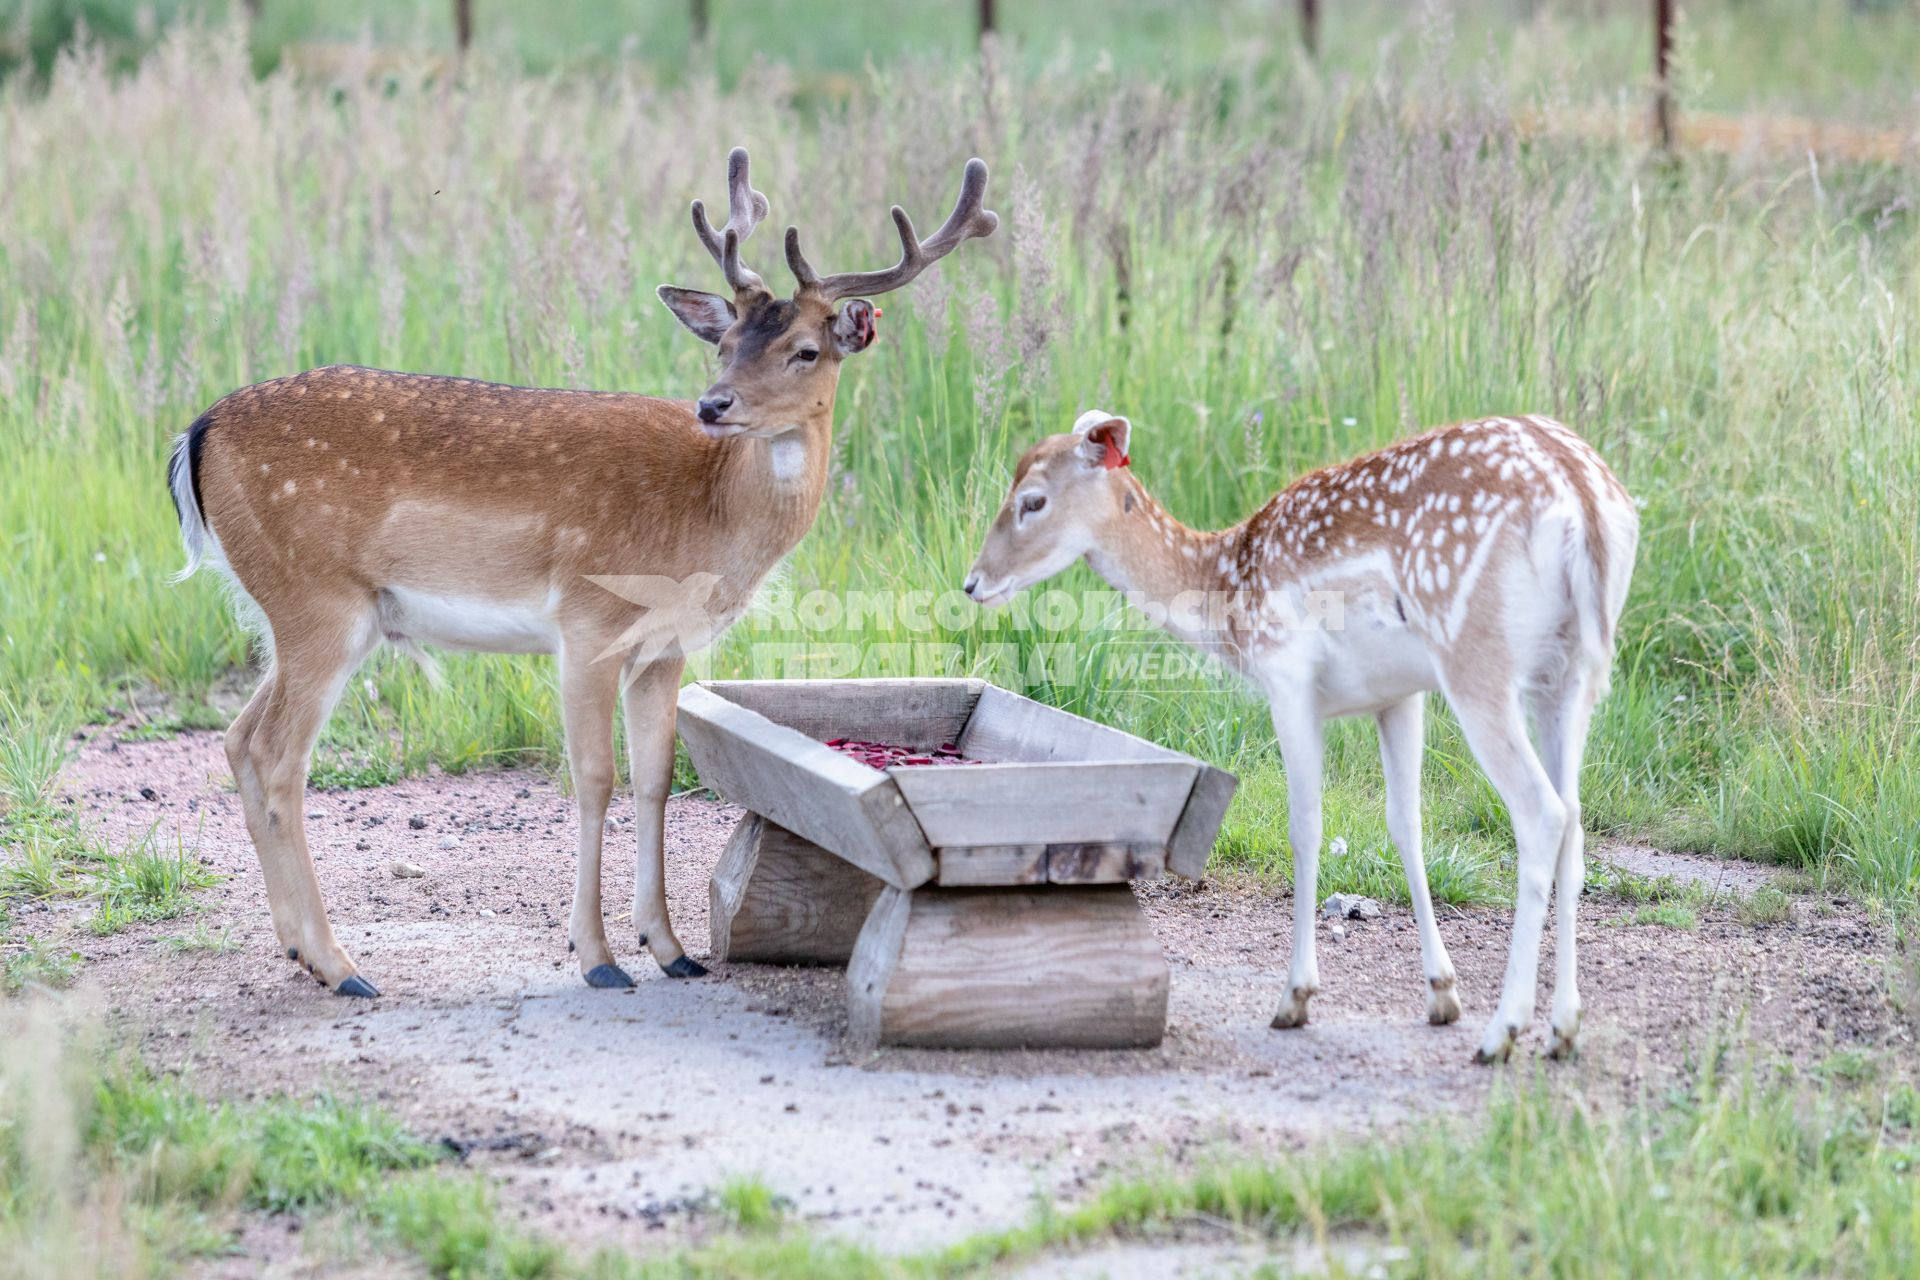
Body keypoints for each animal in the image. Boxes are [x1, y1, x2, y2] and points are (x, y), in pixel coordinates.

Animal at [172, 144, 998, 997]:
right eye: (724, 342)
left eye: (806, 350)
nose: (714, 404)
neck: (708, 518)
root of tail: (198, 432)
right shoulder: (588, 620)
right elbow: (595, 778)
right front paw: (600, 958)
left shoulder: (664, 648)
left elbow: (654, 776)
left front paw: (671, 948)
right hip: (318, 601)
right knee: (279, 758)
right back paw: (344, 968)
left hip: (309, 614)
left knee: (239, 739)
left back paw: (301, 952)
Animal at [967, 410, 1643, 1059]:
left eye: (1032, 500)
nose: (974, 583)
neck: (1228, 593)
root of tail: (1583, 497)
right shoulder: (1399, 693)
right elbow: (1406, 822)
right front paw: (1441, 994)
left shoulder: (1288, 675)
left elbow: (1306, 826)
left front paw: (1295, 998)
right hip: (1571, 672)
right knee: (1574, 820)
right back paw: (1563, 1029)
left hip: (1476, 653)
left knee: (1542, 813)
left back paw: (1503, 1032)